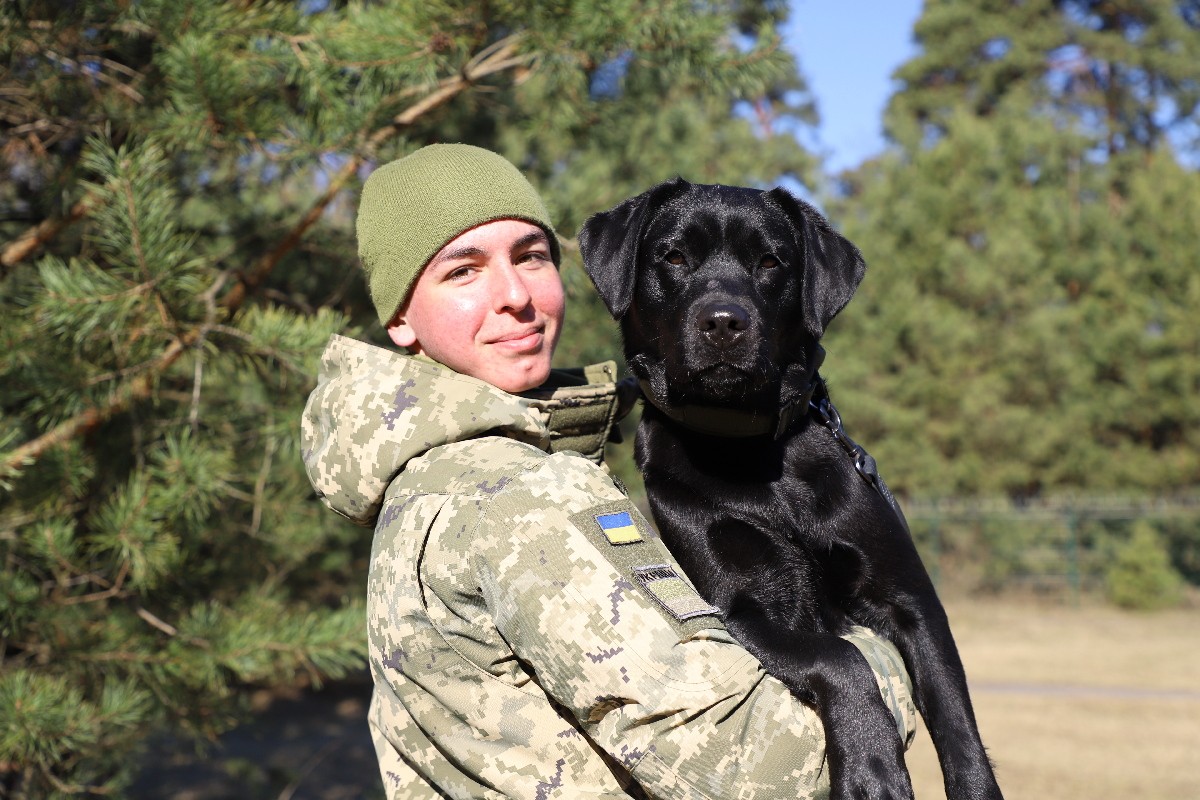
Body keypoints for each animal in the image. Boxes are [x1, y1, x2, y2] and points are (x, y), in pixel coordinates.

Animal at [579, 179, 1002, 800]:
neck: (752, 457)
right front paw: (872, 764)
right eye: (674, 257)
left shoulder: (913, 600)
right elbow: (840, 655)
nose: (723, 322)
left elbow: (957, 723)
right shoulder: (740, 609)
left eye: (770, 262)